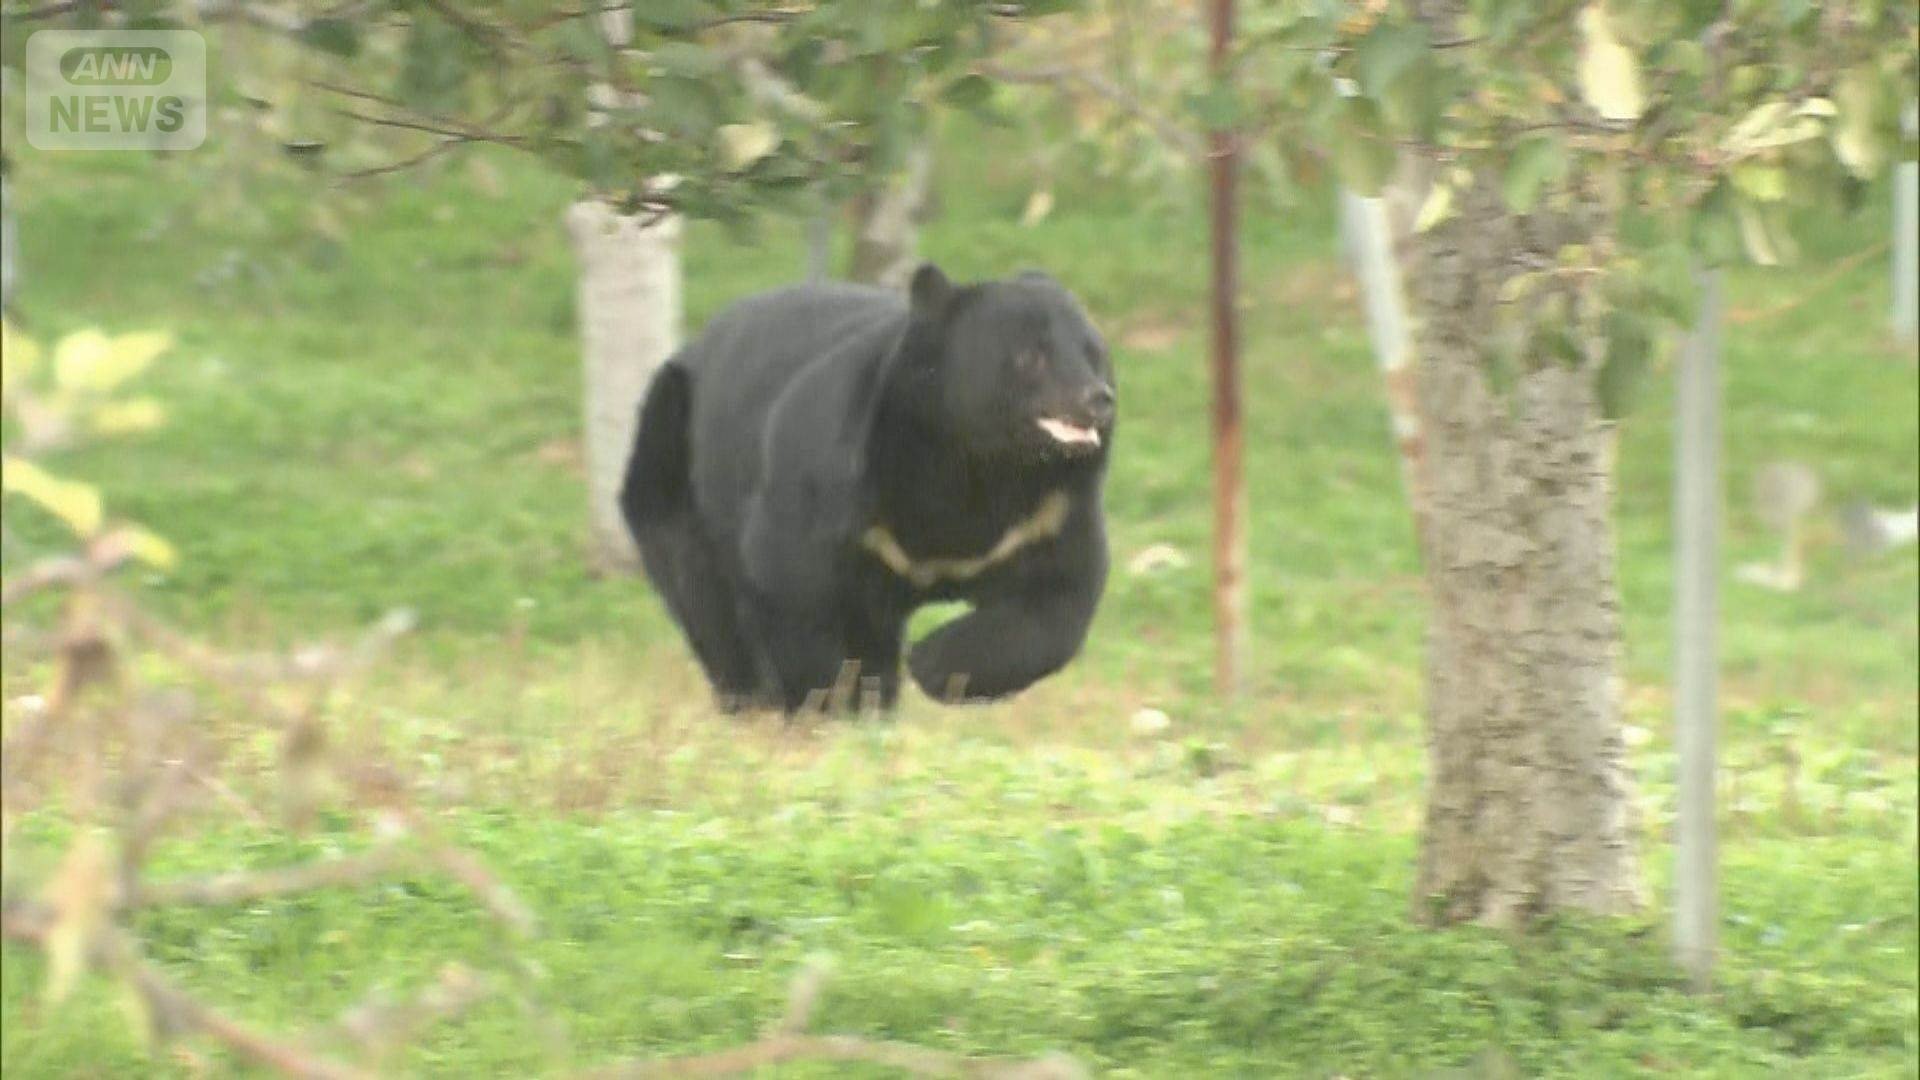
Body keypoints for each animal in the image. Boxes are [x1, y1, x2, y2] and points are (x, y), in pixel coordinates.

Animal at [619, 264, 1115, 713]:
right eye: (1031, 355)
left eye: (1093, 354)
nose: (1098, 399)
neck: (976, 463)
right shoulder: (832, 494)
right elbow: (792, 586)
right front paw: (834, 702)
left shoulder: (1044, 515)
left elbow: (1058, 596)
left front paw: (934, 663)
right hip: (672, 462)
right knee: (707, 601)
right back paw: (753, 698)